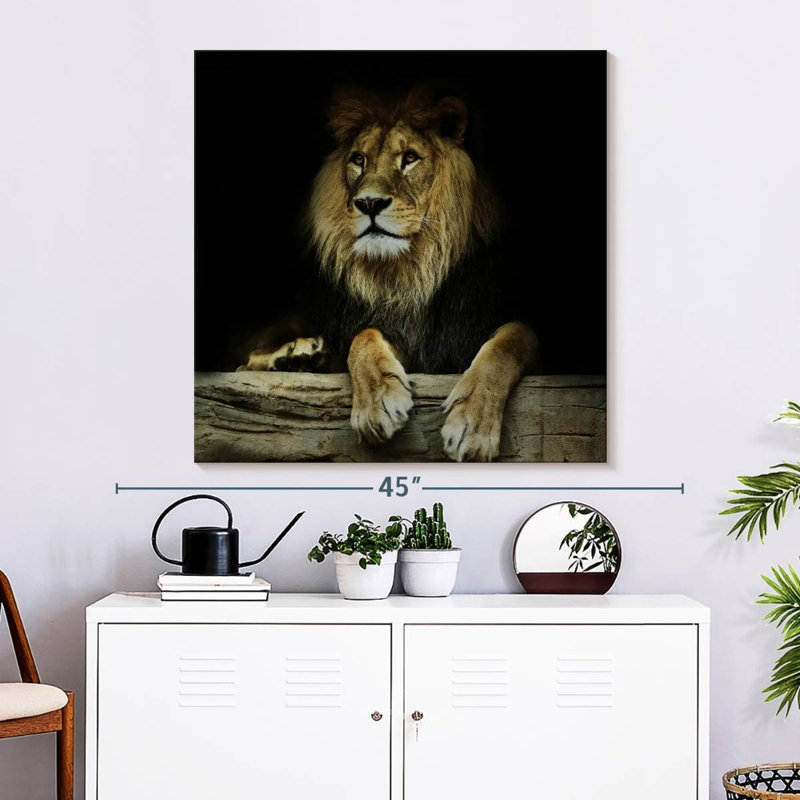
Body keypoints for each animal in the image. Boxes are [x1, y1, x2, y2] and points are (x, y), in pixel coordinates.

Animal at [239, 86, 540, 462]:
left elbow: (511, 340)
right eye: (358, 159)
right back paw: (297, 355)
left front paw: (472, 424)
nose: (369, 203)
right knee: (245, 360)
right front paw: (377, 404)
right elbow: (363, 336)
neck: (413, 271)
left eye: (409, 158)